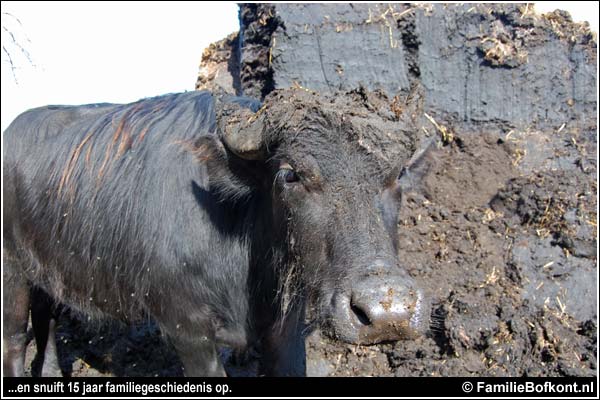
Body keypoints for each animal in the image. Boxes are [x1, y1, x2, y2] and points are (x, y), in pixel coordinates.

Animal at [1, 88, 432, 378]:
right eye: (290, 174)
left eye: (398, 173)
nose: (388, 313)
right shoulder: (188, 332)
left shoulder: (285, 331)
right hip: (12, 276)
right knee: (16, 339)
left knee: (48, 321)